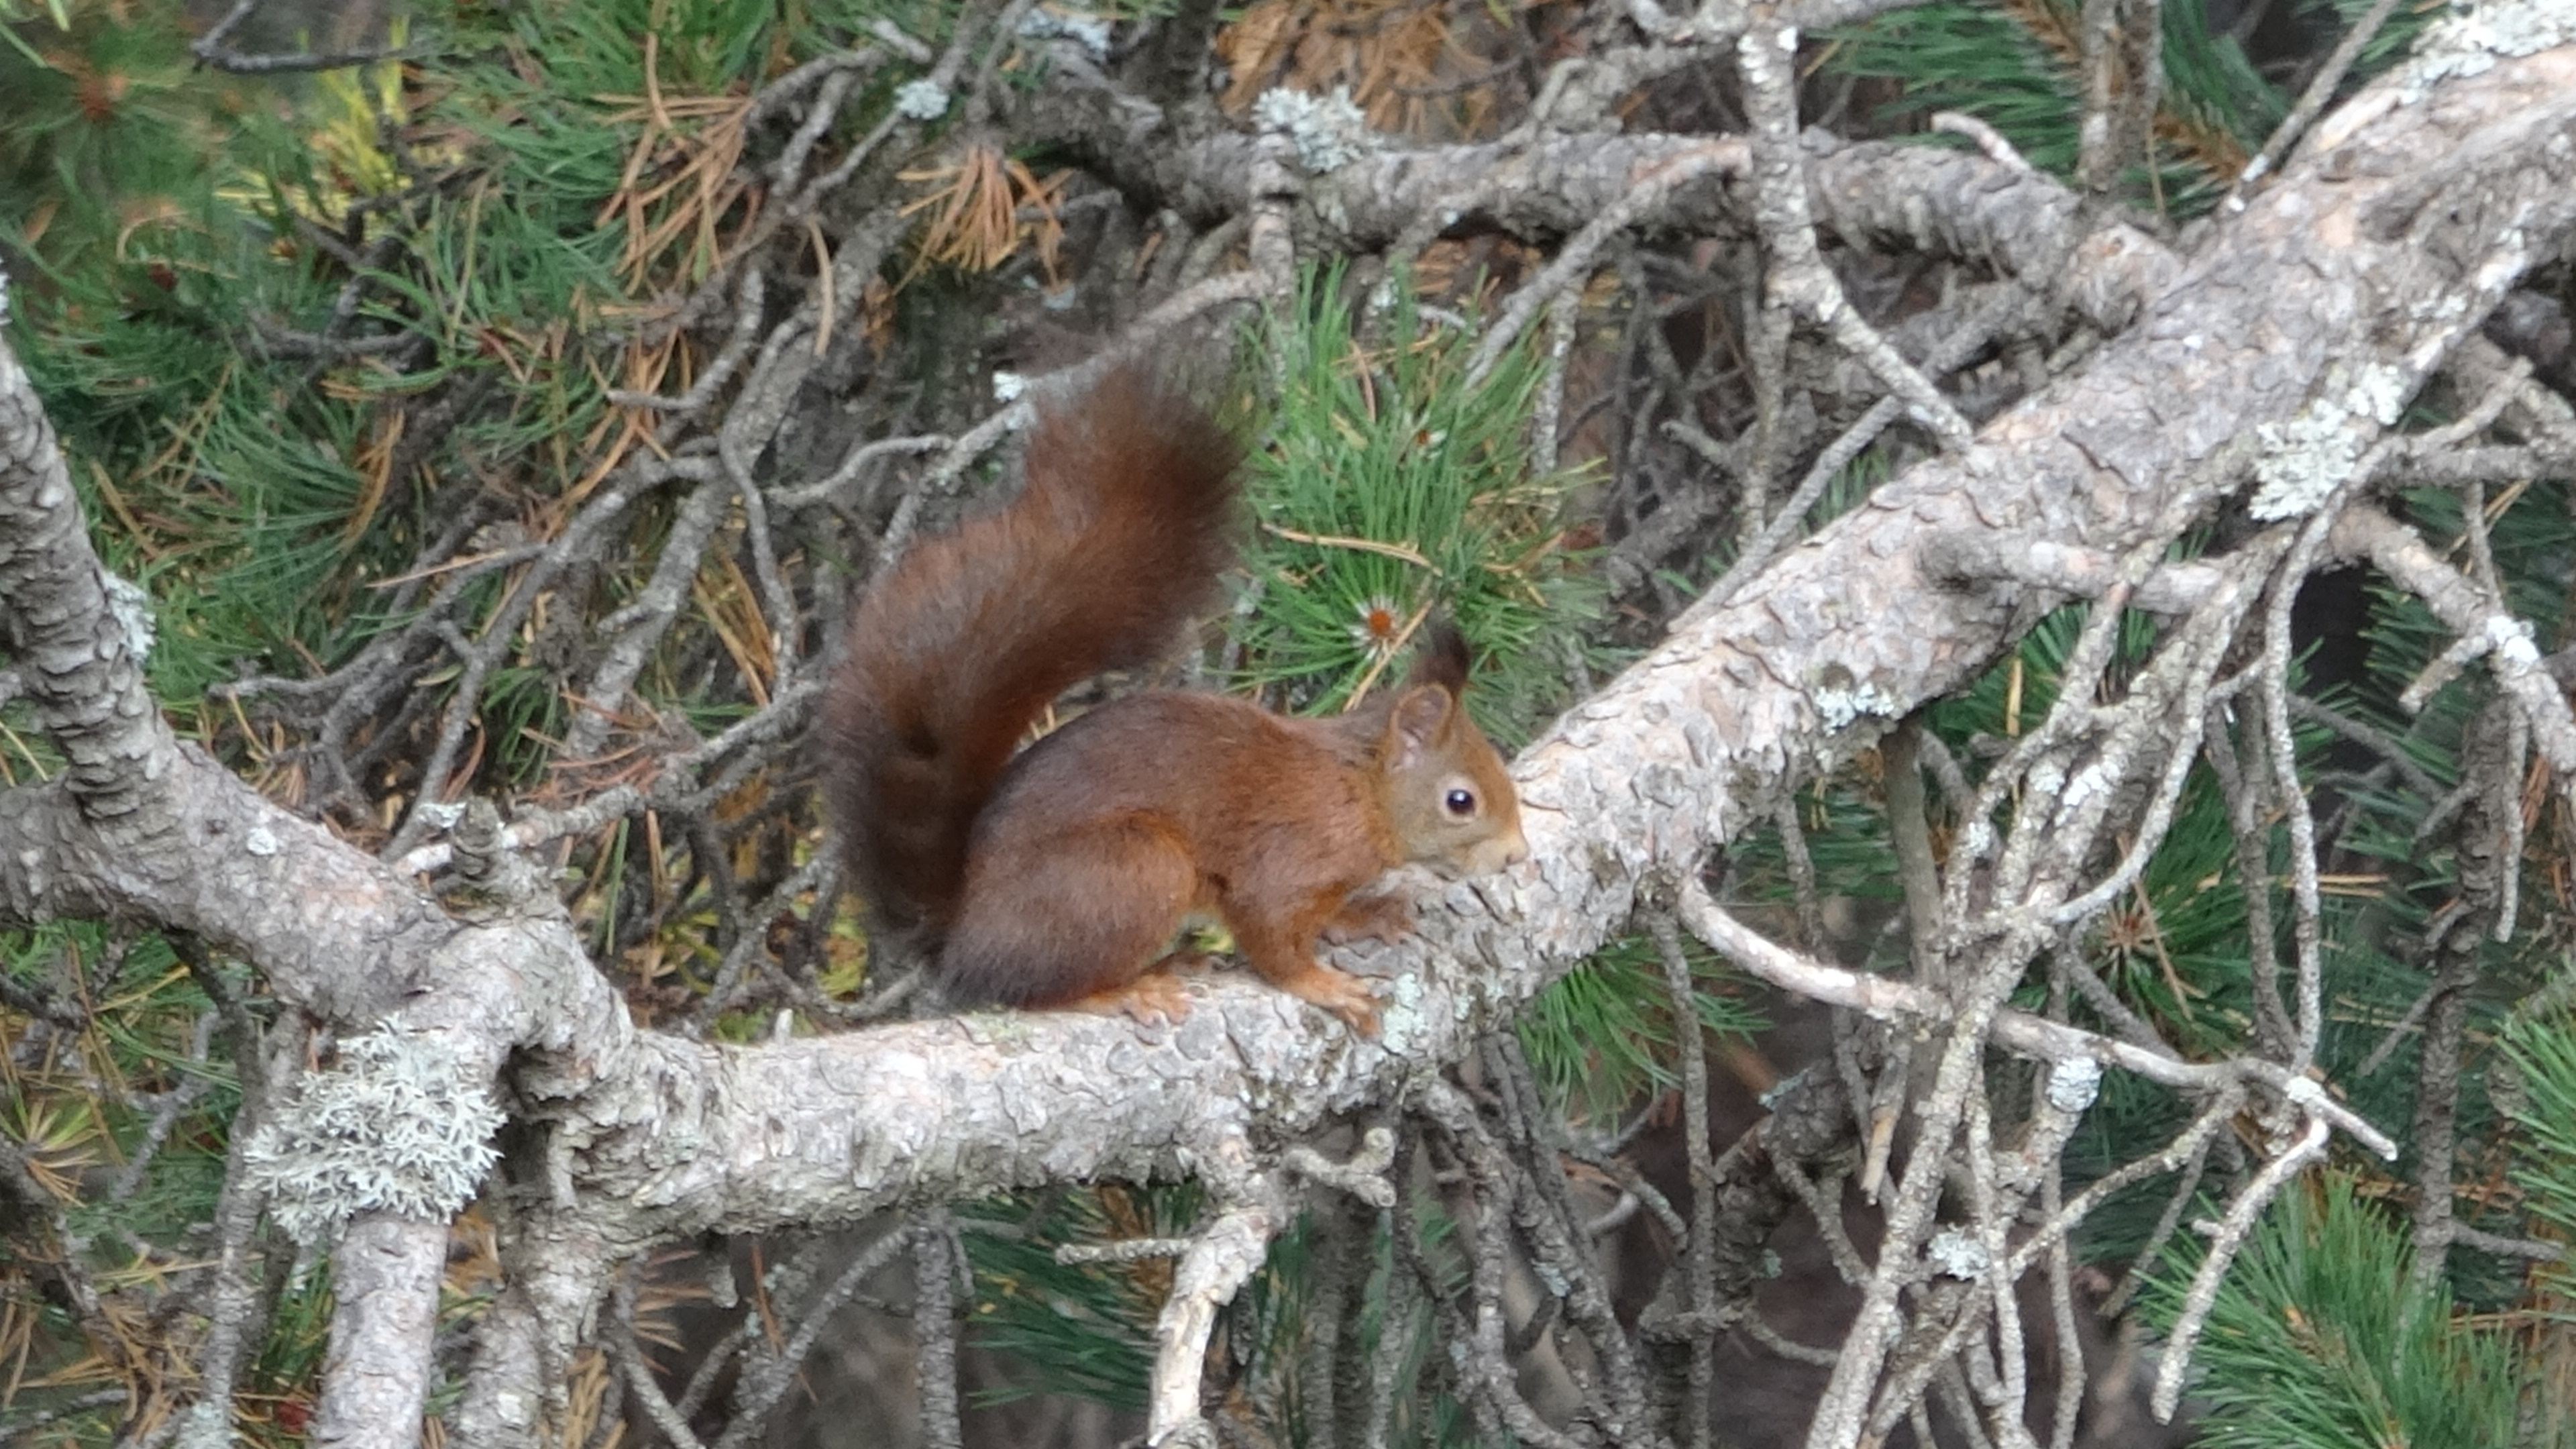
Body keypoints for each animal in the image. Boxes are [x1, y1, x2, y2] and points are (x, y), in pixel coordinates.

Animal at [819, 366, 1525, 1031]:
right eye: (1461, 801)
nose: (1518, 854)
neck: (1360, 790)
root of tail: (966, 929)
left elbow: (1327, 917)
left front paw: (1365, 914)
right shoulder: (1287, 863)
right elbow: (1272, 938)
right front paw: (1322, 985)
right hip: (1136, 869)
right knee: (1036, 991)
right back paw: (1129, 989)